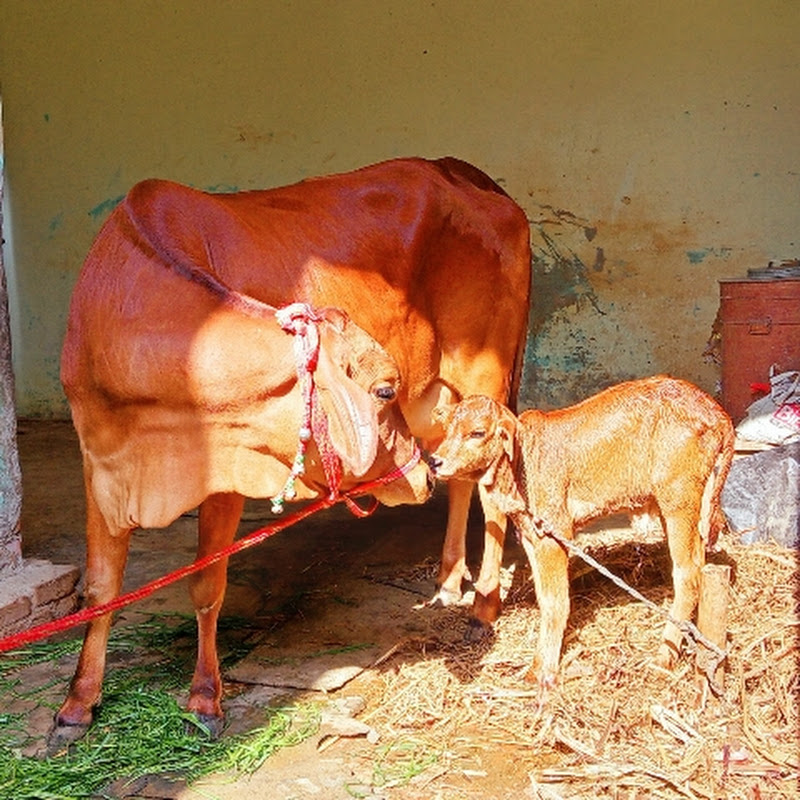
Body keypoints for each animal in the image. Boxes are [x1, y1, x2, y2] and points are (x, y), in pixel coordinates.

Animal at [51, 157, 531, 746]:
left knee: (492, 488)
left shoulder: (231, 468)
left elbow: (207, 585)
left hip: (486, 374)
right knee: (461, 474)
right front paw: (77, 703)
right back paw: (447, 579)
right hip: (444, 396)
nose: (418, 478)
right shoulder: (98, 460)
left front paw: (205, 698)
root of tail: (465, 174)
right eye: (384, 391)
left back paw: (484, 605)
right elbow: (101, 588)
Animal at [428, 376, 735, 687]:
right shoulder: (532, 536)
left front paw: (546, 673)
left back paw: (663, 657)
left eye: (477, 433)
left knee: (688, 574)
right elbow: (544, 597)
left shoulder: (555, 532)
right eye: (448, 429)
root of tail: (716, 411)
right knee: (700, 562)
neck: (520, 464)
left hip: (678, 500)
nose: (434, 461)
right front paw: (536, 668)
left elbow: (557, 601)